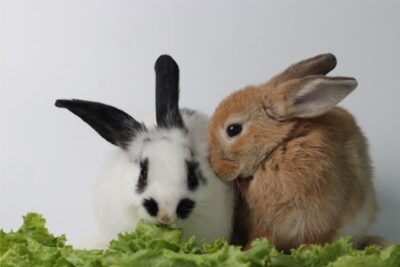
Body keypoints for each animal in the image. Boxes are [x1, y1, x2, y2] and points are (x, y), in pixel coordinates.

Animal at [208, 54, 380, 251]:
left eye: (233, 129)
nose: (217, 168)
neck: (277, 149)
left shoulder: (319, 222)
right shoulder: (263, 224)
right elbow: (260, 238)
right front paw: (249, 251)